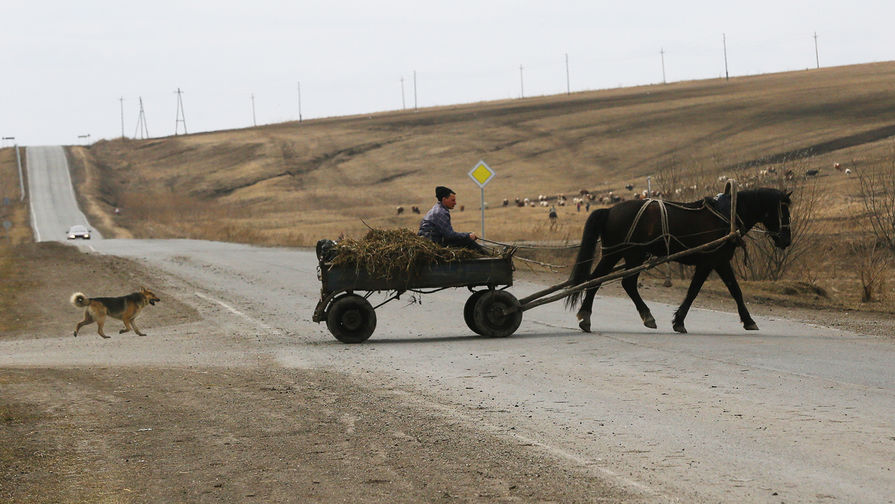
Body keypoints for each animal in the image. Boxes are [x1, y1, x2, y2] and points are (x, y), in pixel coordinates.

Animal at [568, 185, 792, 334]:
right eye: (784, 211)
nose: (786, 240)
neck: (727, 216)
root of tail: (610, 210)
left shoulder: (719, 262)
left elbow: (733, 290)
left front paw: (747, 320)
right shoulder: (710, 261)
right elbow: (696, 291)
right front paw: (679, 322)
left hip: (614, 253)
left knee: (596, 280)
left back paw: (586, 316)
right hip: (632, 254)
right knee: (626, 282)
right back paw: (645, 316)